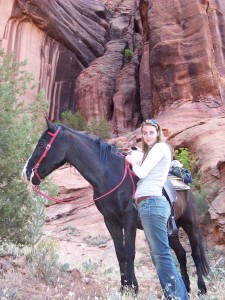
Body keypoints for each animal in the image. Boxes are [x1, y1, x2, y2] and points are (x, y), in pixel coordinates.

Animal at [22, 119, 210, 296]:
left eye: (41, 144)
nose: (26, 172)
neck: (110, 176)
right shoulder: (111, 222)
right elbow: (120, 253)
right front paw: (124, 287)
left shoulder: (129, 220)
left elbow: (130, 252)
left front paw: (133, 288)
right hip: (168, 230)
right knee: (181, 254)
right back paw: (186, 287)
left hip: (190, 224)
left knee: (195, 254)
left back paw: (201, 288)